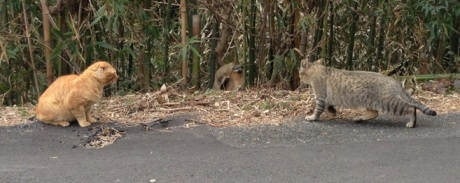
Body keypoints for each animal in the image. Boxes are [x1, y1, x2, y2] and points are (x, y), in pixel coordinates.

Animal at [300, 58, 436, 127]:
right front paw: (333, 112)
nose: (299, 77)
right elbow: (329, 107)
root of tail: (393, 80)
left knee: (411, 108)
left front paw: (312, 117)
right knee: (374, 114)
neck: (318, 69)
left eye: (300, 72)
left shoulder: (320, 97)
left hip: (390, 103)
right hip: (371, 102)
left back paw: (412, 123)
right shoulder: (326, 99)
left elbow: (317, 110)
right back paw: (358, 118)